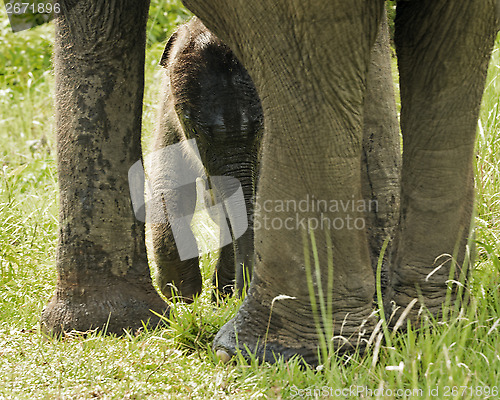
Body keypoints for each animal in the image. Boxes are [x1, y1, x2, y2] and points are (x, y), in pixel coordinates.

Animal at [146, 18, 264, 300]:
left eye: (259, 126)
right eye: (194, 128)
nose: (244, 292)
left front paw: (221, 295)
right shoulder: (168, 115)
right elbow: (168, 183)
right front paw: (180, 294)